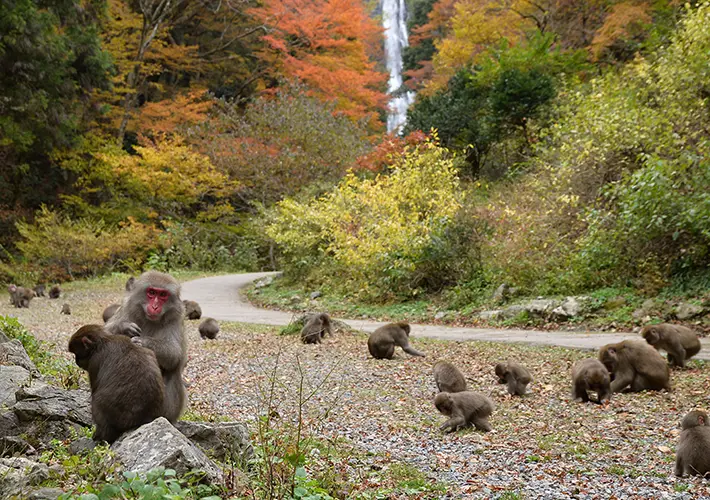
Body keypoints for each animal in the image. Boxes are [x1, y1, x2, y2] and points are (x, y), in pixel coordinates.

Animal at [105, 272, 188, 424]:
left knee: (172, 372)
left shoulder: (176, 318)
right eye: (152, 292)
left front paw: (143, 342)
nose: (155, 306)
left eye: (163, 295)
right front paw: (124, 327)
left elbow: (174, 354)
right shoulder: (126, 307)